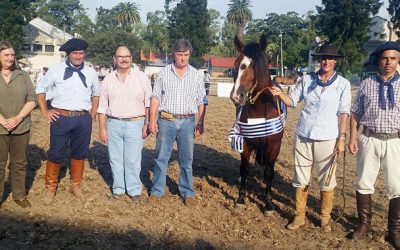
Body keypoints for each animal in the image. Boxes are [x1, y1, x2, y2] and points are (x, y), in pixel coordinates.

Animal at [230, 34, 282, 216]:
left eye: (252, 65)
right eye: (236, 65)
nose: (236, 96)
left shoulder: (274, 146)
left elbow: (269, 173)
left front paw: (268, 204)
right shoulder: (245, 143)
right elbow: (244, 169)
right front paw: (240, 199)